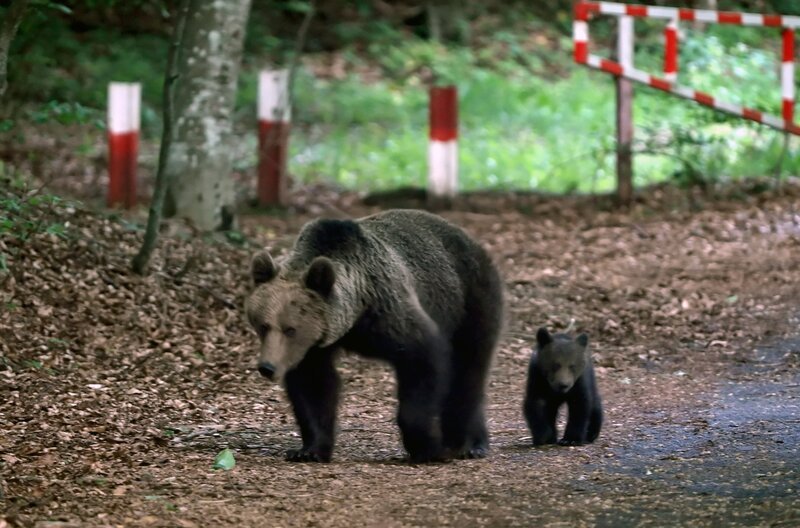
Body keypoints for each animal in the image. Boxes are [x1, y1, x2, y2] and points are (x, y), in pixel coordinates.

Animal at [245, 209, 504, 463]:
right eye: (263, 325)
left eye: (290, 329)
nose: (267, 367)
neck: (354, 316)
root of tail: (469, 238)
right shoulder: (314, 346)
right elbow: (313, 385)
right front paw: (308, 450)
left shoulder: (388, 312)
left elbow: (422, 359)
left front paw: (428, 448)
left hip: (469, 300)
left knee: (468, 369)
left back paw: (467, 444)